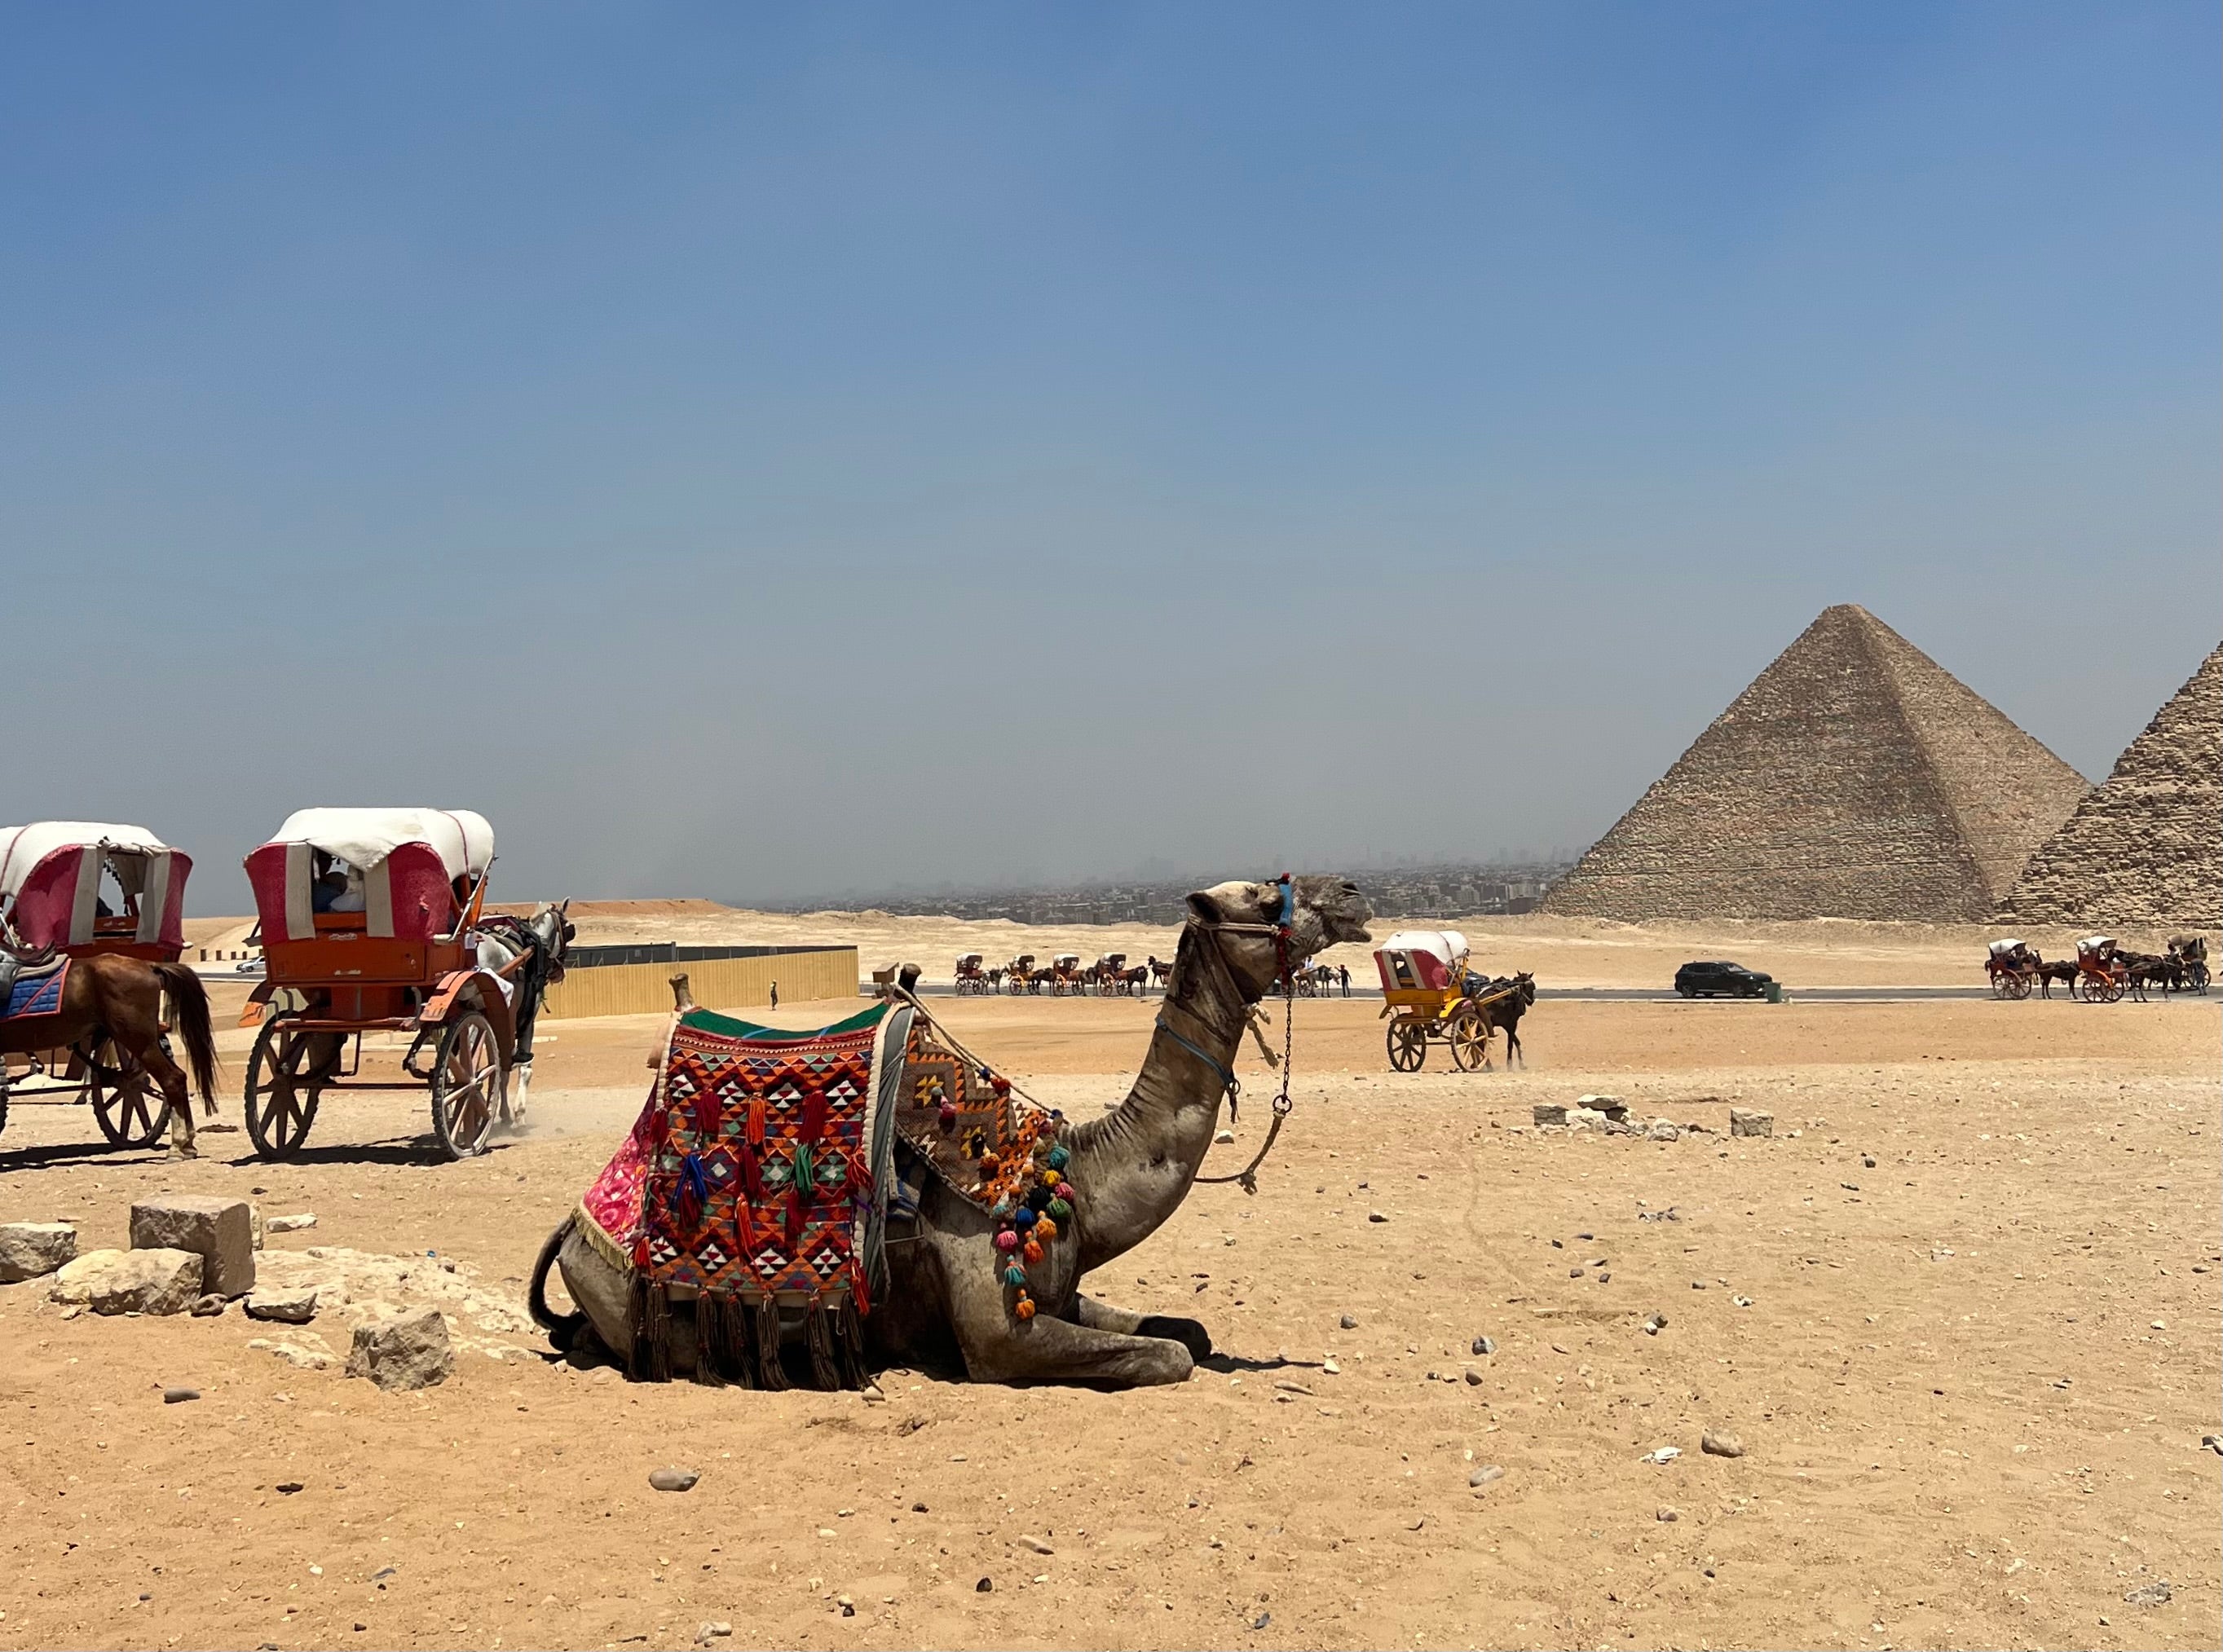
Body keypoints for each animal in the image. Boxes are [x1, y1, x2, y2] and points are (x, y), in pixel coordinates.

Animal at [533, 871, 1369, 1387]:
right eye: (1260, 893)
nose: (1353, 893)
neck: (1073, 1176)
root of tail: (575, 1227)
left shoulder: (1061, 1292)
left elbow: (1187, 1332)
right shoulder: (999, 1334)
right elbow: (1169, 1354)